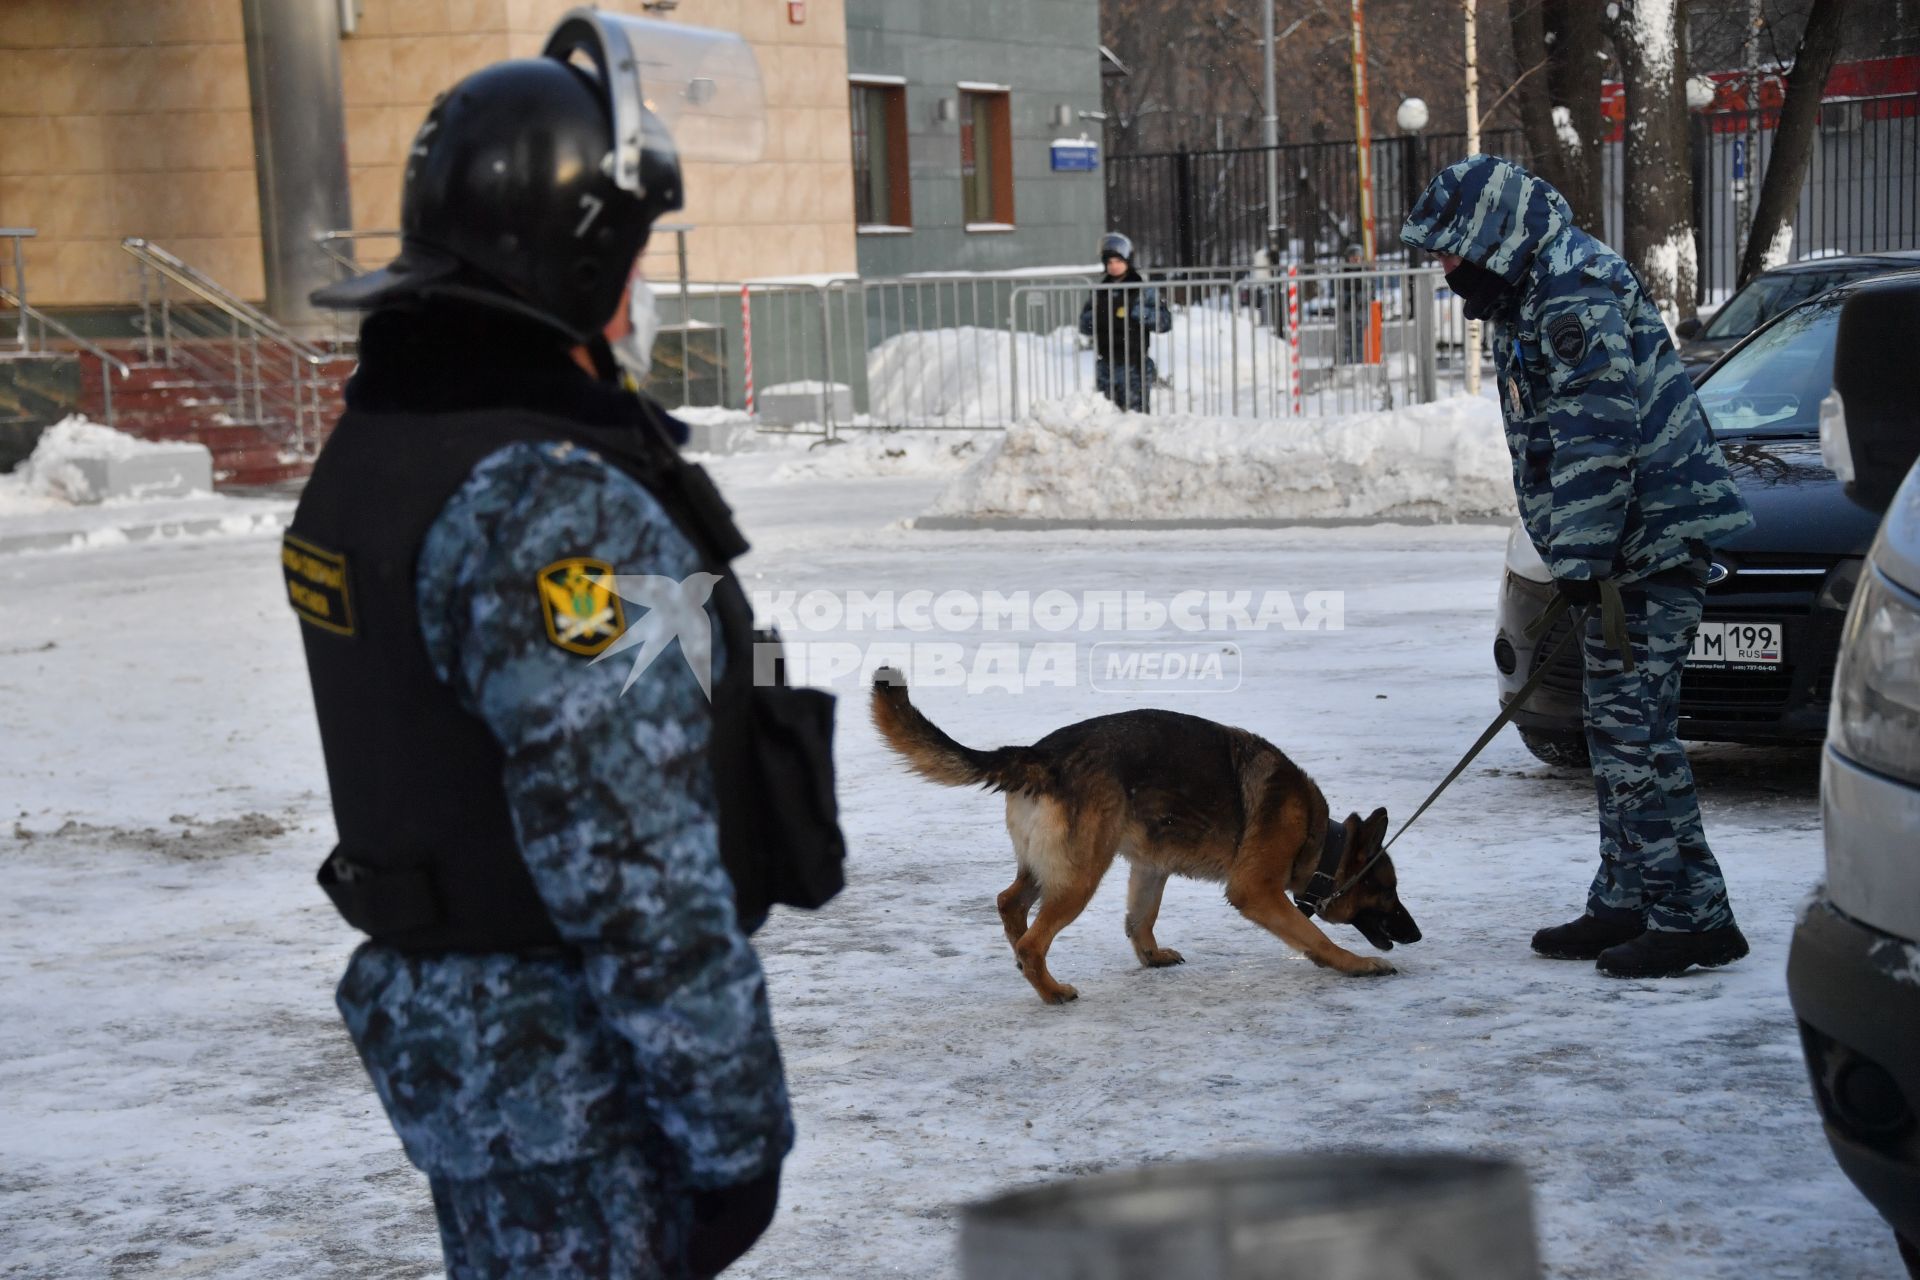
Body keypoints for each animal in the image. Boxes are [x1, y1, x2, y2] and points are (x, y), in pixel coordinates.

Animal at [879, 671, 1420, 997]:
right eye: (1388, 890)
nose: (1415, 934)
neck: (1319, 839)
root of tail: (1039, 753)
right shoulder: (1256, 891)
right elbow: (1314, 935)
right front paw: (1352, 964)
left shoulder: (1150, 867)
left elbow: (1140, 919)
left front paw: (1150, 955)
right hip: (1080, 876)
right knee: (1034, 938)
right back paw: (1051, 991)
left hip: (1050, 867)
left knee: (1010, 903)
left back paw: (1022, 960)